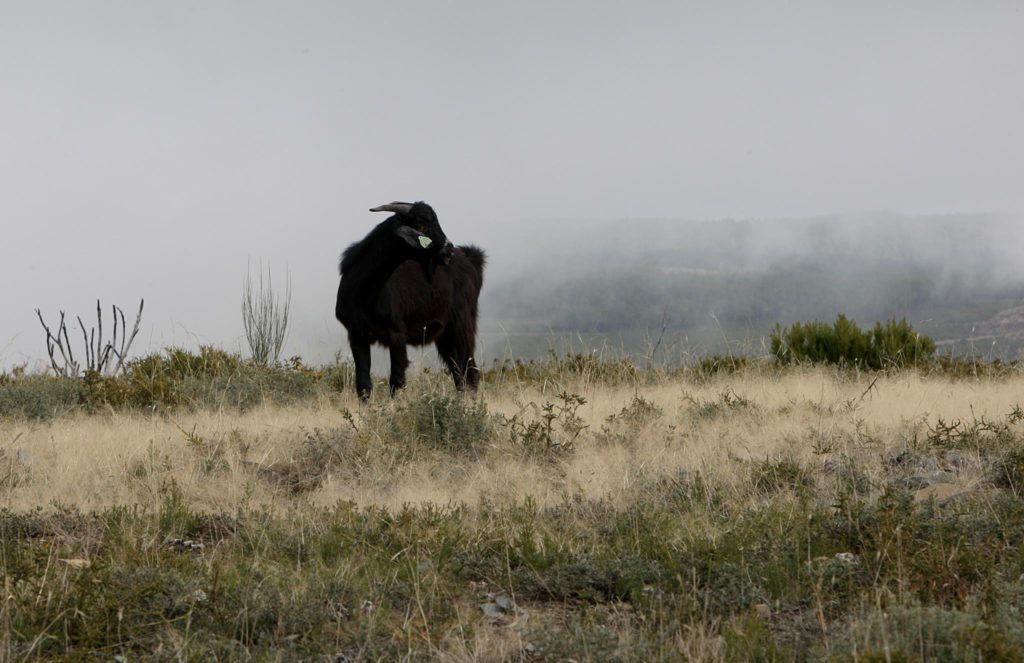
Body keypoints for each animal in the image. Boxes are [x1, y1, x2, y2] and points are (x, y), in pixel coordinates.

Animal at [331, 201, 483, 399]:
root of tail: (471, 261)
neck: (365, 290)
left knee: (469, 368)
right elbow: (363, 384)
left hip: (462, 323)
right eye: (419, 225)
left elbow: (396, 380)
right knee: (458, 371)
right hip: (445, 334)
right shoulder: (357, 335)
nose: (448, 250)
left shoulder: (397, 333)